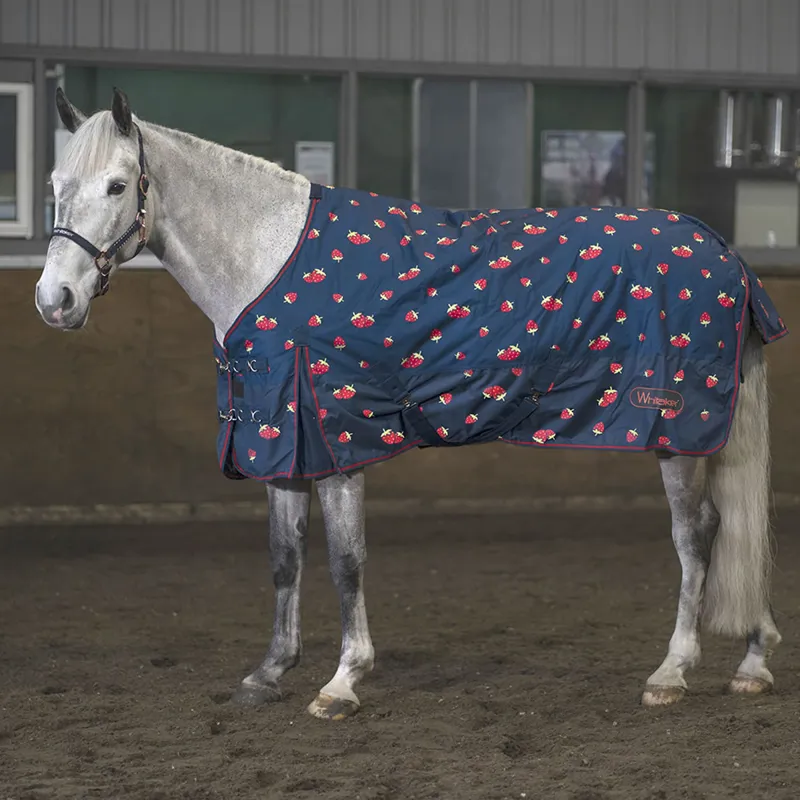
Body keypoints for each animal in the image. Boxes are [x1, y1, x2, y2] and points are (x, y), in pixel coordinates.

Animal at [35, 87, 786, 721]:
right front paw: (270, 671)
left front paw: (342, 681)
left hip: (673, 428)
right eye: (55, 187)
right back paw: (752, 660)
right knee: (736, 532)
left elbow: (346, 562)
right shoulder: (277, 439)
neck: (268, 256)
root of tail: (725, 254)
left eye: (118, 185)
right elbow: (285, 557)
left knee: (698, 535)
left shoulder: (336, 438)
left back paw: (672, 672)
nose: (54, 300)